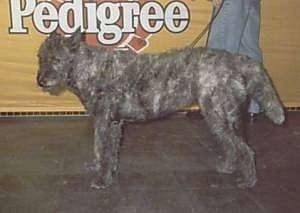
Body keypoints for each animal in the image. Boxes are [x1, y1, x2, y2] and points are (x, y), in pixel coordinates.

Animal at [36, 31, 284, 188]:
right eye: (40, 57)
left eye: (56, 59)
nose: (41, 81)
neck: (89, 68)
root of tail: (235, 60)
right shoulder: (113, 124)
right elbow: (107, 151)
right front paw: (105, 171)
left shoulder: (104, 121)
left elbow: (102, 149)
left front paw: (102, 179)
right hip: (219, 117)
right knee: (233, 144)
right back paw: (228, 167)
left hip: (219, 114)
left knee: (245, 149)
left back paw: (248, 180)